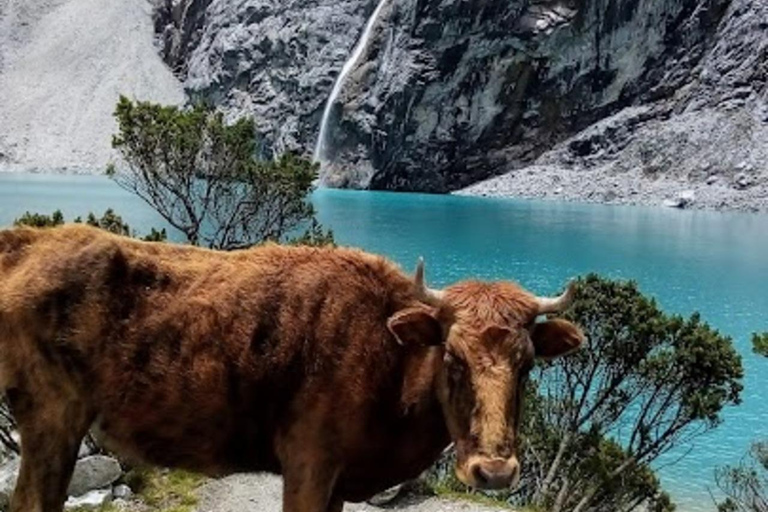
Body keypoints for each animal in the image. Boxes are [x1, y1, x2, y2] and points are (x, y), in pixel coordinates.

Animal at [0, 225, 584, 512]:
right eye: (453, 357)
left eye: (527, 365)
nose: (495, 472)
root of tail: (29, 237)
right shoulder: (309, 465)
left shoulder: (339, 484)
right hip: (52, 421)